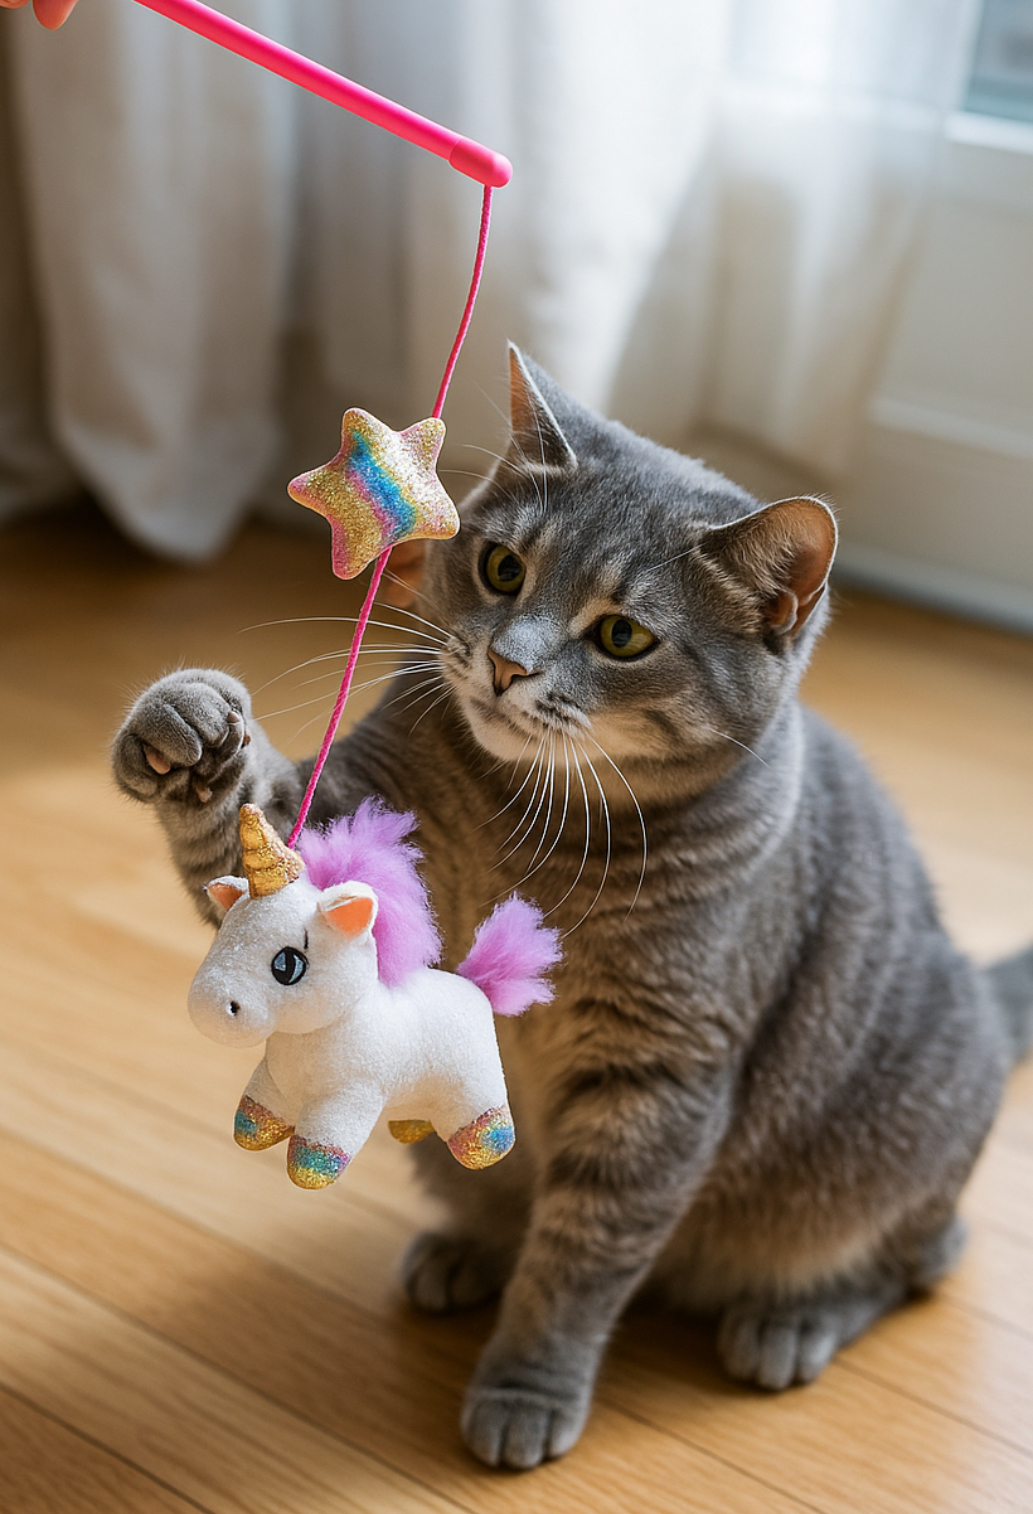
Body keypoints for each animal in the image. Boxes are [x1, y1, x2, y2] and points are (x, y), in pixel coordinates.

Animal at [112, 346, 1033, 1471]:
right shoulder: (350, 859)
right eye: (503, 568)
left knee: (922, 1255)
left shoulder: (656, 1071)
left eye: (622, 635)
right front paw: (189, 730)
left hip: (882, 1159)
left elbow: (581, 1256)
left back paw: (791, 1317)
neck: (528, 819)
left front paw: (526, 1384)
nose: (508, 663)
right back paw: (465, 1249)